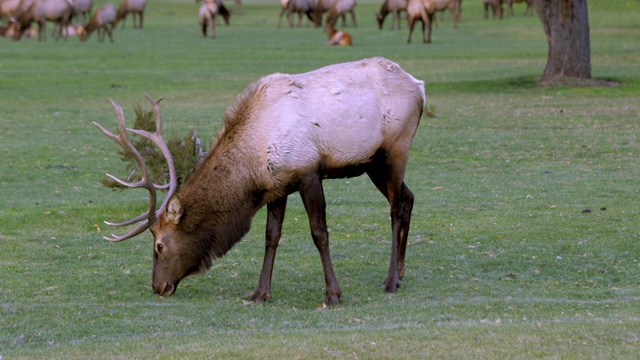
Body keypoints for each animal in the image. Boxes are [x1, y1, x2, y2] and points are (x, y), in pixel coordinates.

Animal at [95, 57, 424, 306]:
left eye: (160, 246)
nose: (158, 287)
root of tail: (419, 87)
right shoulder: (278, 185)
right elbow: (271, 236)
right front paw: (260, 293)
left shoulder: (308, 171)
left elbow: (319, 233)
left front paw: (333, 294)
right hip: (373, 163)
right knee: (408, 198)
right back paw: (402, 273)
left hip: (397, 148)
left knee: (395, 208)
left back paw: (390, 281)